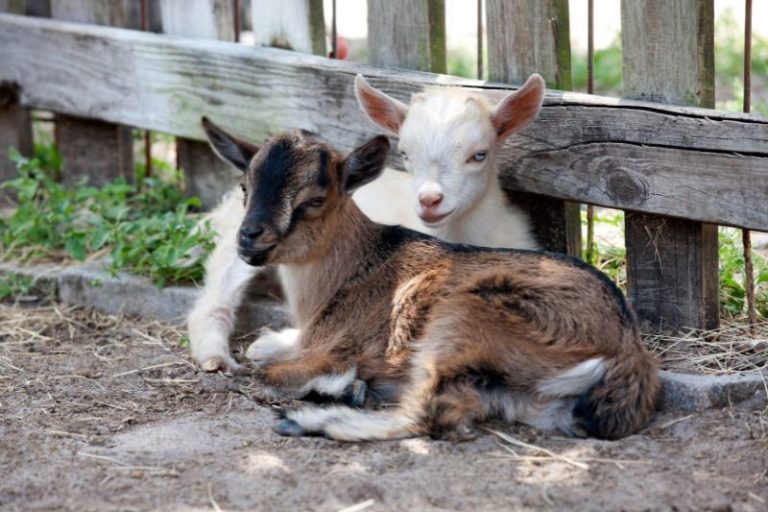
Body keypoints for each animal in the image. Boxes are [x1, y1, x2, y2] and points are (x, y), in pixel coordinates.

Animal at [190, 75, 544, 372]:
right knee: (212, 301)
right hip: (235, 246)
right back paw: (216, 358)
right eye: (405, 154)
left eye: (479, 154)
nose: (429, 200)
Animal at [200, 118, 660, 441]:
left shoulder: (341, 347)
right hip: (516, 394)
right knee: (454, 412)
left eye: (314, 200)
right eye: (245, 187)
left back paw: (311, 419)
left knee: (425, 416)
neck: (356, 267)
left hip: (463, 317)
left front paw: (343, 385)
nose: (249, 238)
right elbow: (260, 351)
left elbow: (265, 372)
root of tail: (626, 351)